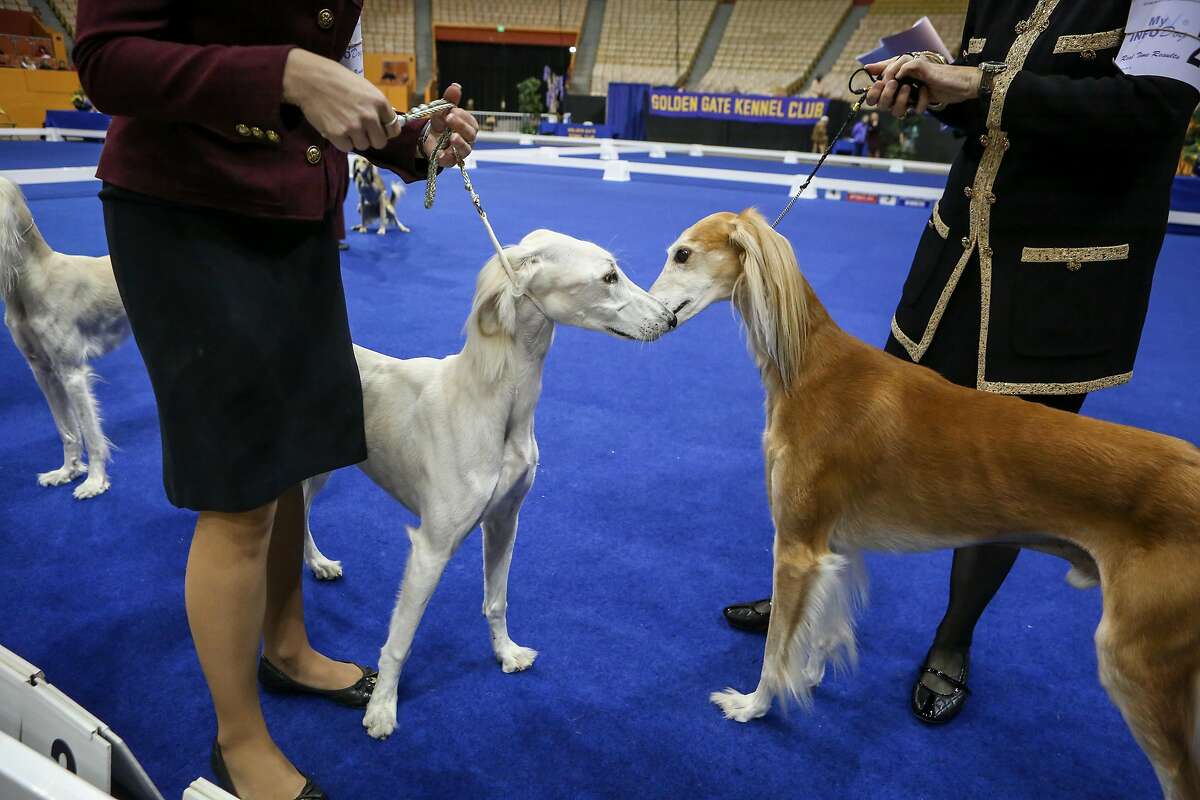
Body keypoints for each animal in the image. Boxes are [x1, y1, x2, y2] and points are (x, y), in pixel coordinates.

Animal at [300, 230, 676, 738]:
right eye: (608, 276)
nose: (670, 318)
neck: (495, 402)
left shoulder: (503, 521)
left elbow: (495, 600)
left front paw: (506, 654)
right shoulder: (431, 547)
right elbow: (401, 637)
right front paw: (381, 708)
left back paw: (319, 564)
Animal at [652, 208, 1200, 800]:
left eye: (682, 254)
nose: (652, 317)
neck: (810, 366)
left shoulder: (797, 547)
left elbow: (777, 649)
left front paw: (754, 706)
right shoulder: (833, 546)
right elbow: (822, 628)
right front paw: (813, 674)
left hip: (1136, 661)